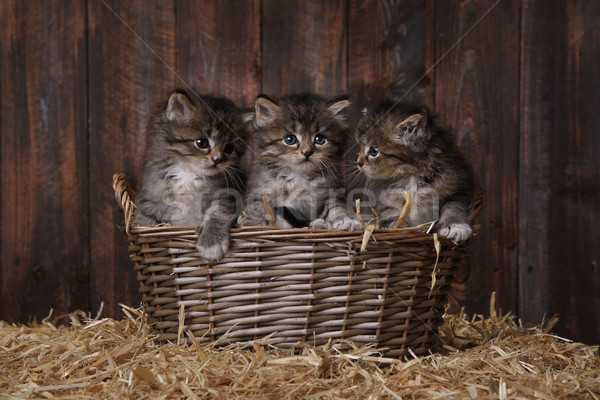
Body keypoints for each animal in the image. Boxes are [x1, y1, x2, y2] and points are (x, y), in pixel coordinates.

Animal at [136, 88, 251, 260]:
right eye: (202, 143)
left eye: (229, 148)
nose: (217, 160)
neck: (189, 173)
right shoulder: (149, 196)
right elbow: (144, 219)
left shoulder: (230, 194)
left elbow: (217, 212)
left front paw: (211, 243)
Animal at [243, 93, 360, 230]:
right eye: (290, 139)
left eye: (320, 139)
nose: (307, 152)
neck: (299, 176)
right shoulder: (259, 194)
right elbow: (257, 212)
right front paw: (254, 225)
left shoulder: (333, 191)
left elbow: (336, 208)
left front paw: (345, 221)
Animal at [356, 101, 474, 242]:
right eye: (360, 147)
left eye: (374, 151)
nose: (358, 163)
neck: (411, 174)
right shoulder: (386, 205)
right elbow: (395, 221)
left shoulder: (457, 186)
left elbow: (453, 206)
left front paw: (457, 227)